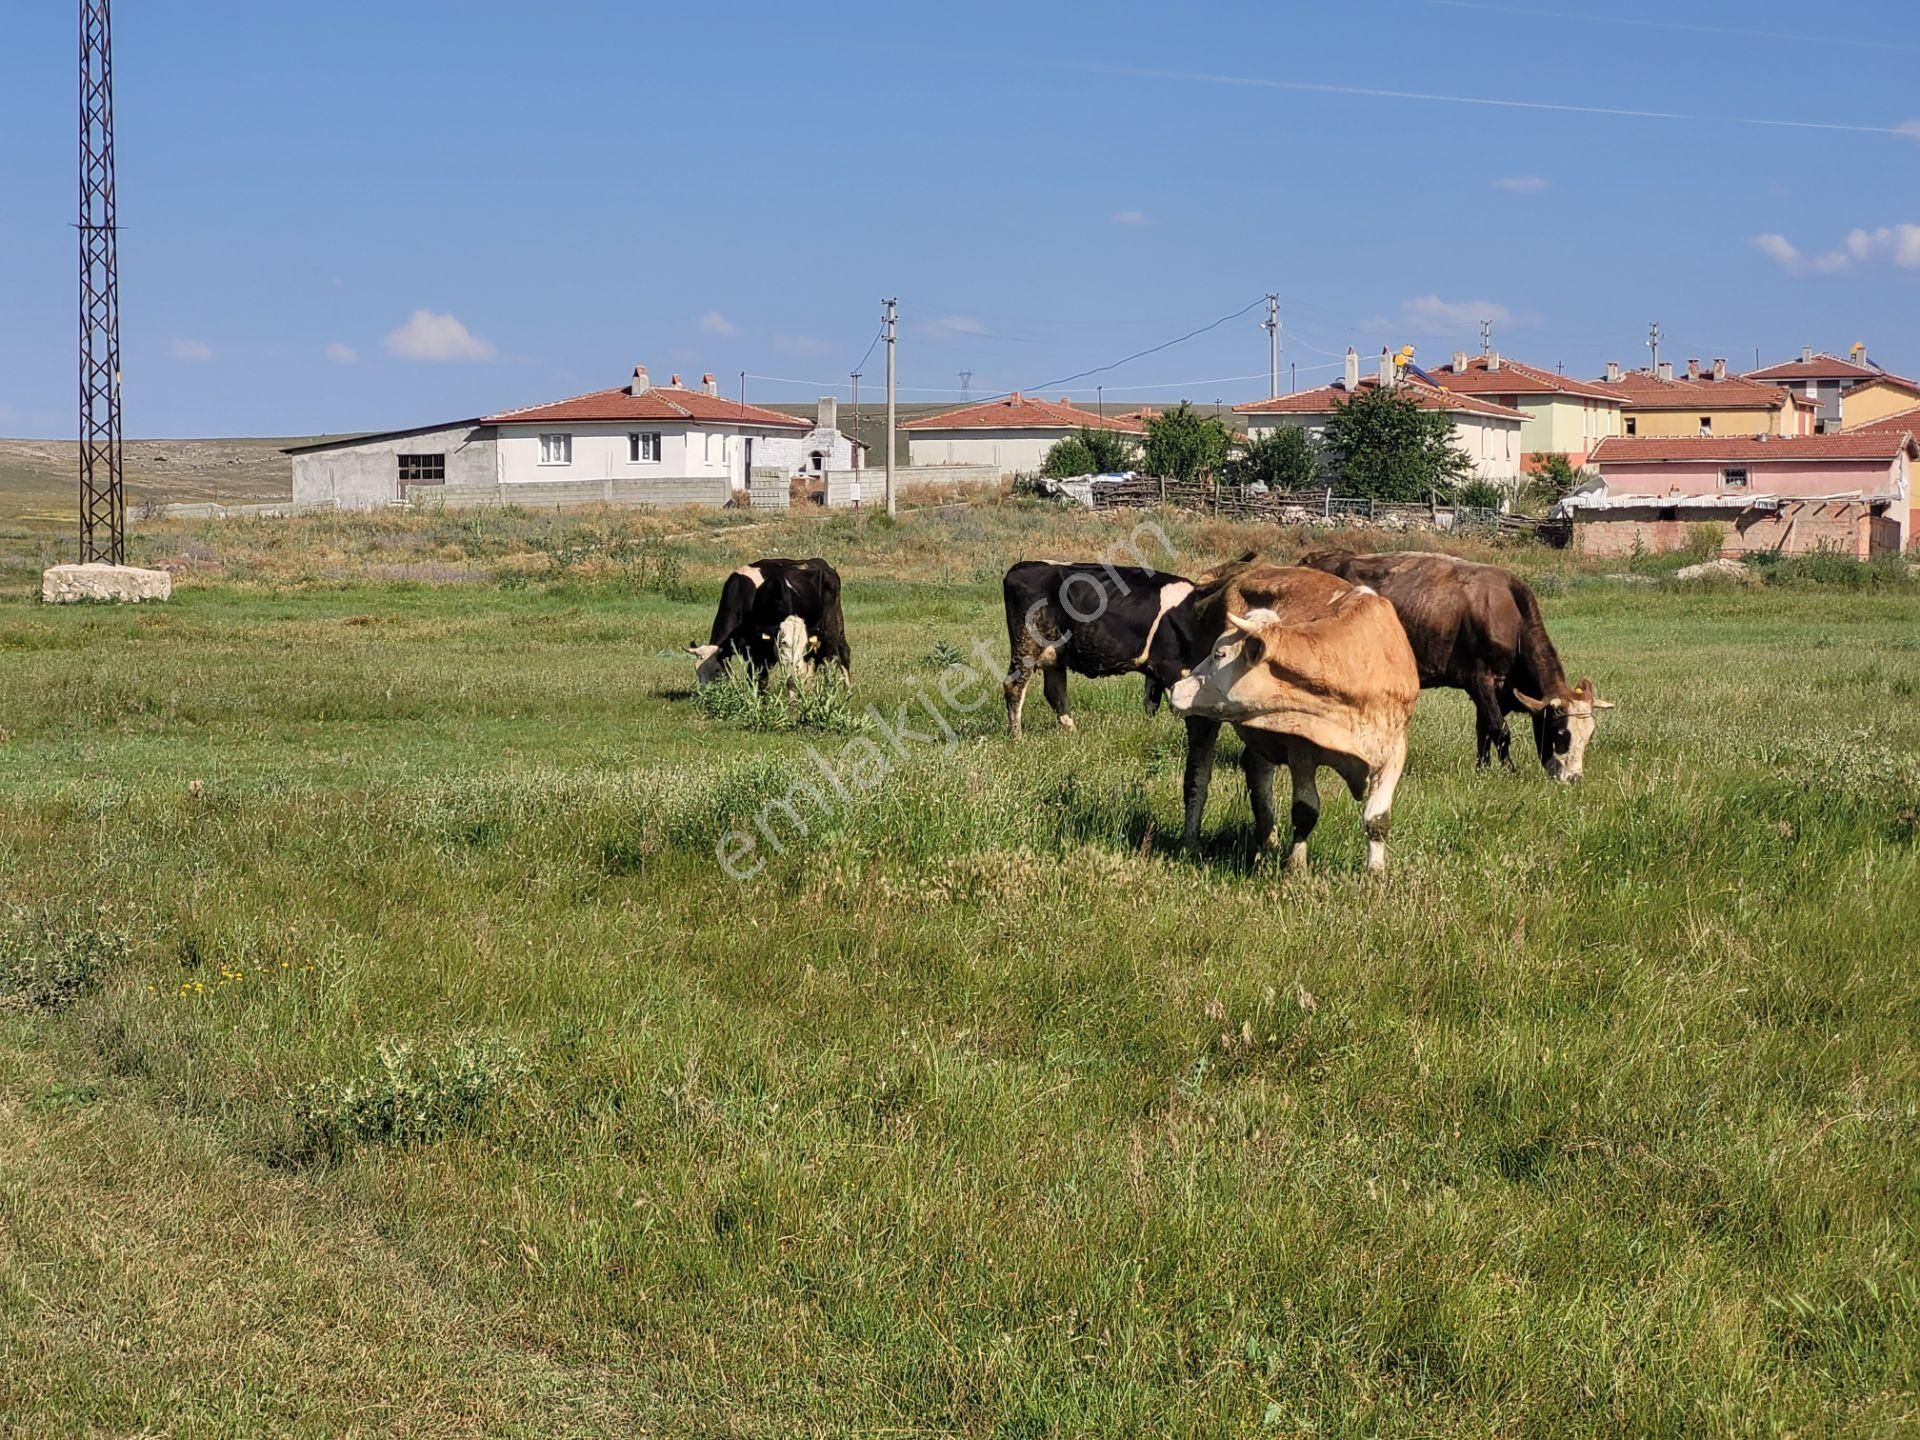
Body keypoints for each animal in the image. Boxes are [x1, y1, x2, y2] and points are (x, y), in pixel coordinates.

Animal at [683, 556, 848, 691]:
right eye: (697, 671)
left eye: (717, 670)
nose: (706, 694)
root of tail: (824, 564)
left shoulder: (762, 650)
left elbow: (760, 678)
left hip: (831, 625)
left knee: (838, 654)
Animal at [998, 556, 1205, 737]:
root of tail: (1019, 568)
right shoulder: (1170, 666)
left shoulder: (1155, 667)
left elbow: (1151, 703)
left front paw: (1147, 731)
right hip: (1026, 643)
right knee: (1014, 686)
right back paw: (1017, 737)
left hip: (1055, 654)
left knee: (1054, 690)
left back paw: (1073, 733)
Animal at [1159, 568, 1420, 875]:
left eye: (1219, 654)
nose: (1177, 687)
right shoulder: (1301, 747)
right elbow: (1305, 811)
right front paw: (1296, 867)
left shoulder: (1394, 747)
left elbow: (1377, 818)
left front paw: (1376, 872)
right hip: (1202, 719)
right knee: (1197, 776)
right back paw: (1191, 842)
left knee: (1257, 769)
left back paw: (1268, 843)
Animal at [1297, 552, 1612, 783]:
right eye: (1561, 734)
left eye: (1590, 736)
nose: (1574, 779)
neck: (1510, 617)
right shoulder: (1480, 678)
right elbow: (1500, 729)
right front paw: (1509, 770)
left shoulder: (1500, 690)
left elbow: (1483, 729)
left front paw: (1482, 769)